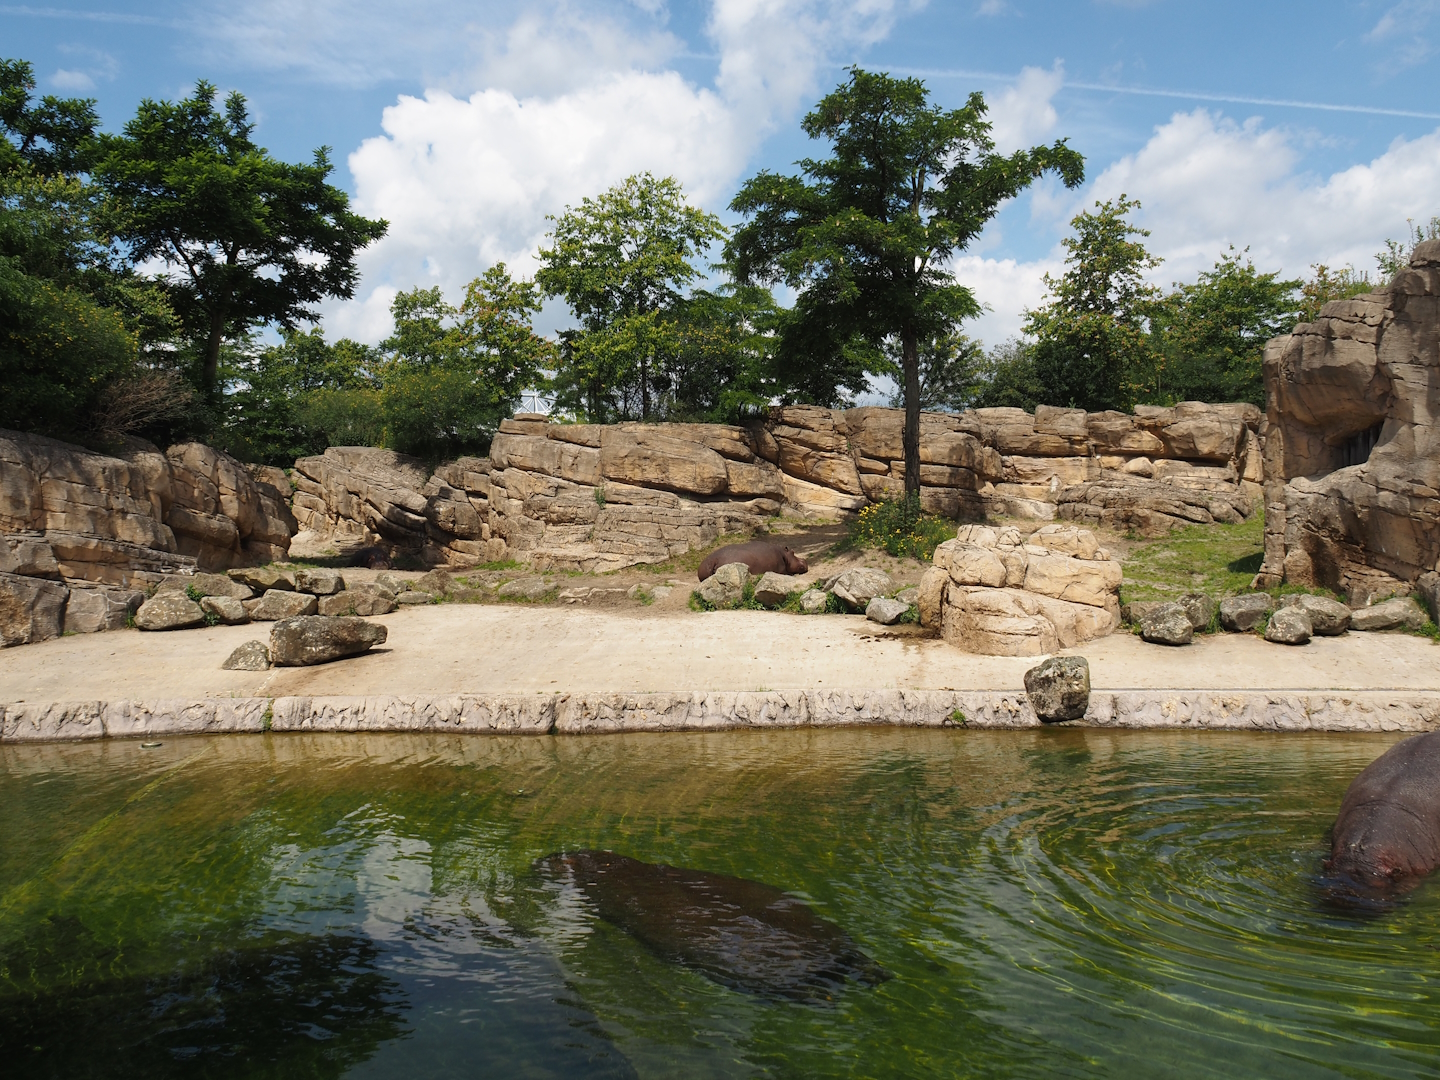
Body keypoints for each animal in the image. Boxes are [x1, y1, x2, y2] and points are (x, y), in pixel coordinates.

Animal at [534, 850, 888, 1001]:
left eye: (552, 859)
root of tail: (832, 955)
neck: (609, 867)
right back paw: (876, 975)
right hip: (835, 936)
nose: (536, 860)